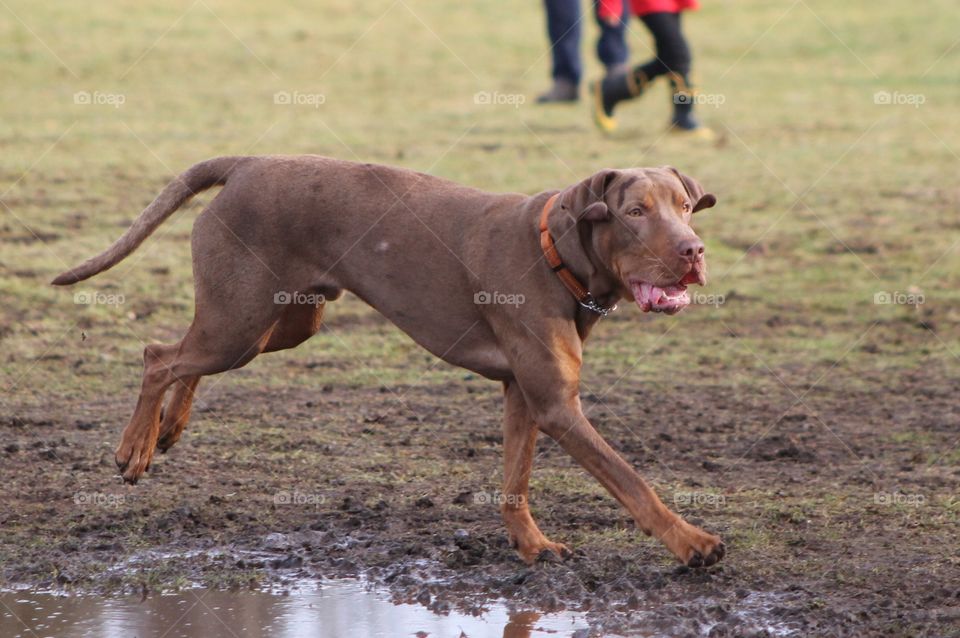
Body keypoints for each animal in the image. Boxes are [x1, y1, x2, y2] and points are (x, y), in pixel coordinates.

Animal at [54, 156, 728, 568]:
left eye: (683, 207)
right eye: (635, 212)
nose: (694, 252)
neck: (557, 253)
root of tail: (246, 164)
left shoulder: (524, 396)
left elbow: (515, 483)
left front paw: (531, 546)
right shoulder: (558, 406)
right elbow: (633, 482)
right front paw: (692, 542)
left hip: (281, 324)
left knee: (181, 358)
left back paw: (169, 428)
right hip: (239, 323)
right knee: (157, 356)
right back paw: (135, 448)